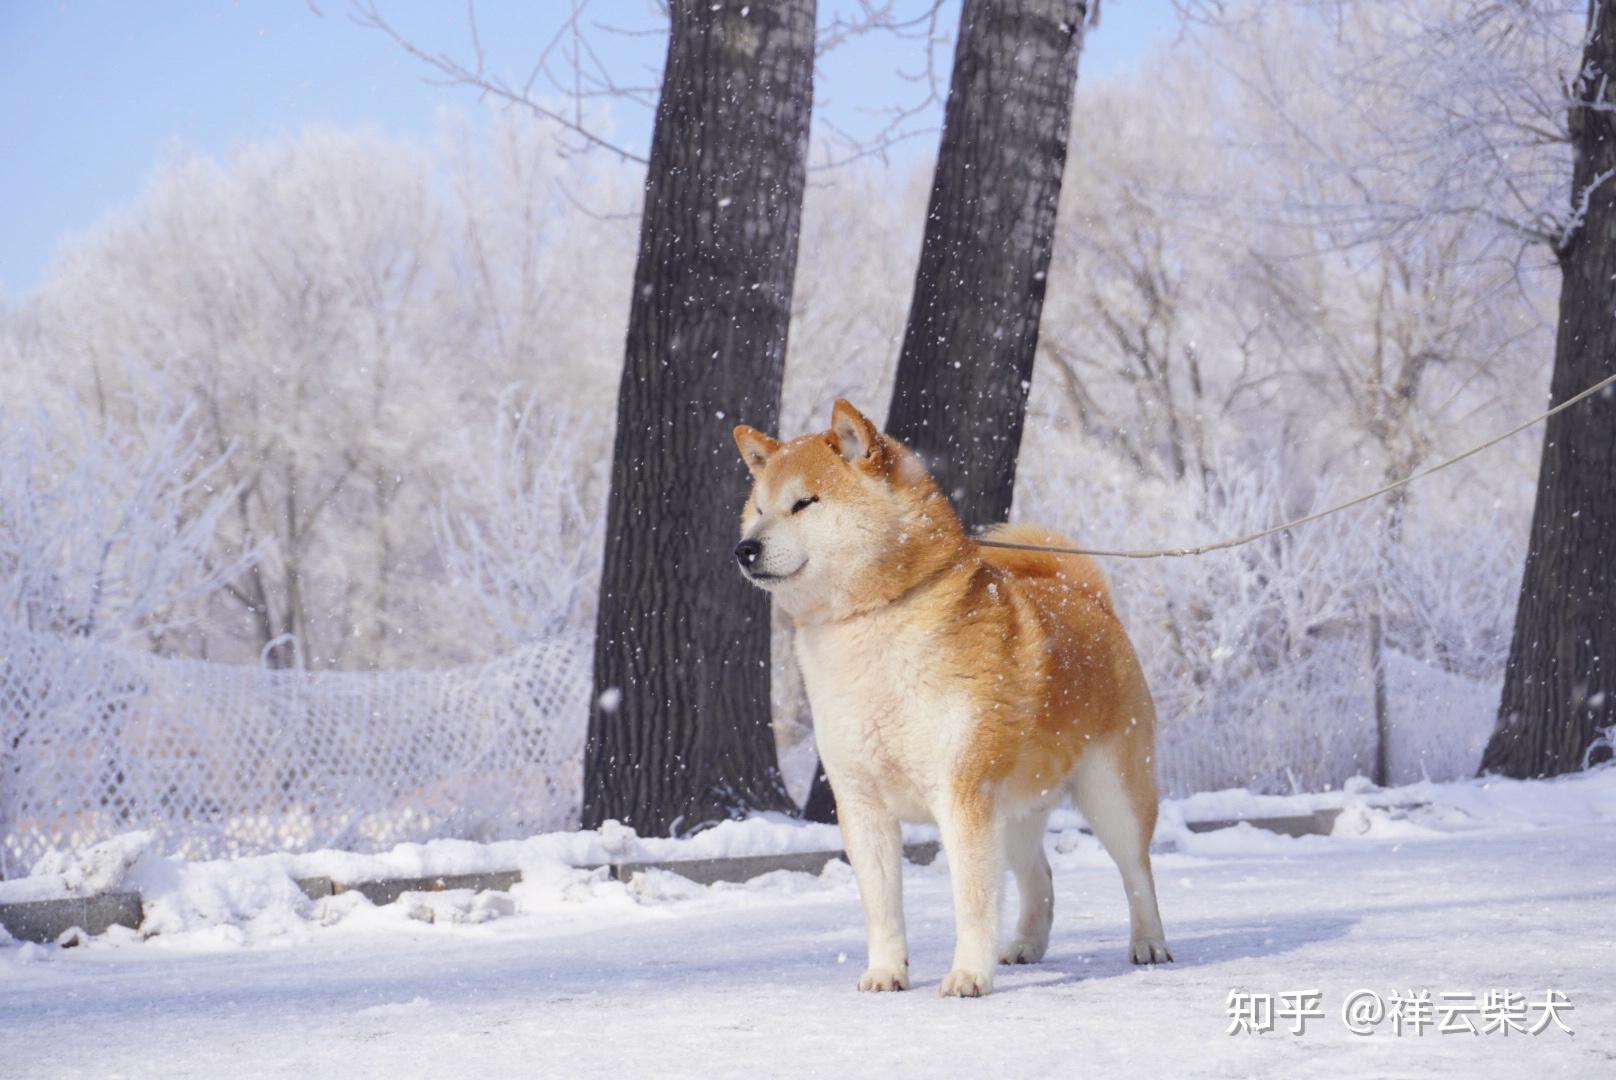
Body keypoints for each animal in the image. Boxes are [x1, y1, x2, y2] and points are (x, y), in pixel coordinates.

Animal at [733, 402, 1176, 995]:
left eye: (804, 503)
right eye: (758, 509)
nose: (745, 549)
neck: (870, 624)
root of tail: (1088, 596)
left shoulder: (963, 795)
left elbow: (972, 901)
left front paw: (968, 975)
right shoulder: (861, 803)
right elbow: (882, 905)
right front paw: (886, 972)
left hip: (1112, 794)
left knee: (1137, 872)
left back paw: (1149, 943)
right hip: (1015, 813)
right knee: (1040, 877)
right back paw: (1026, 945)